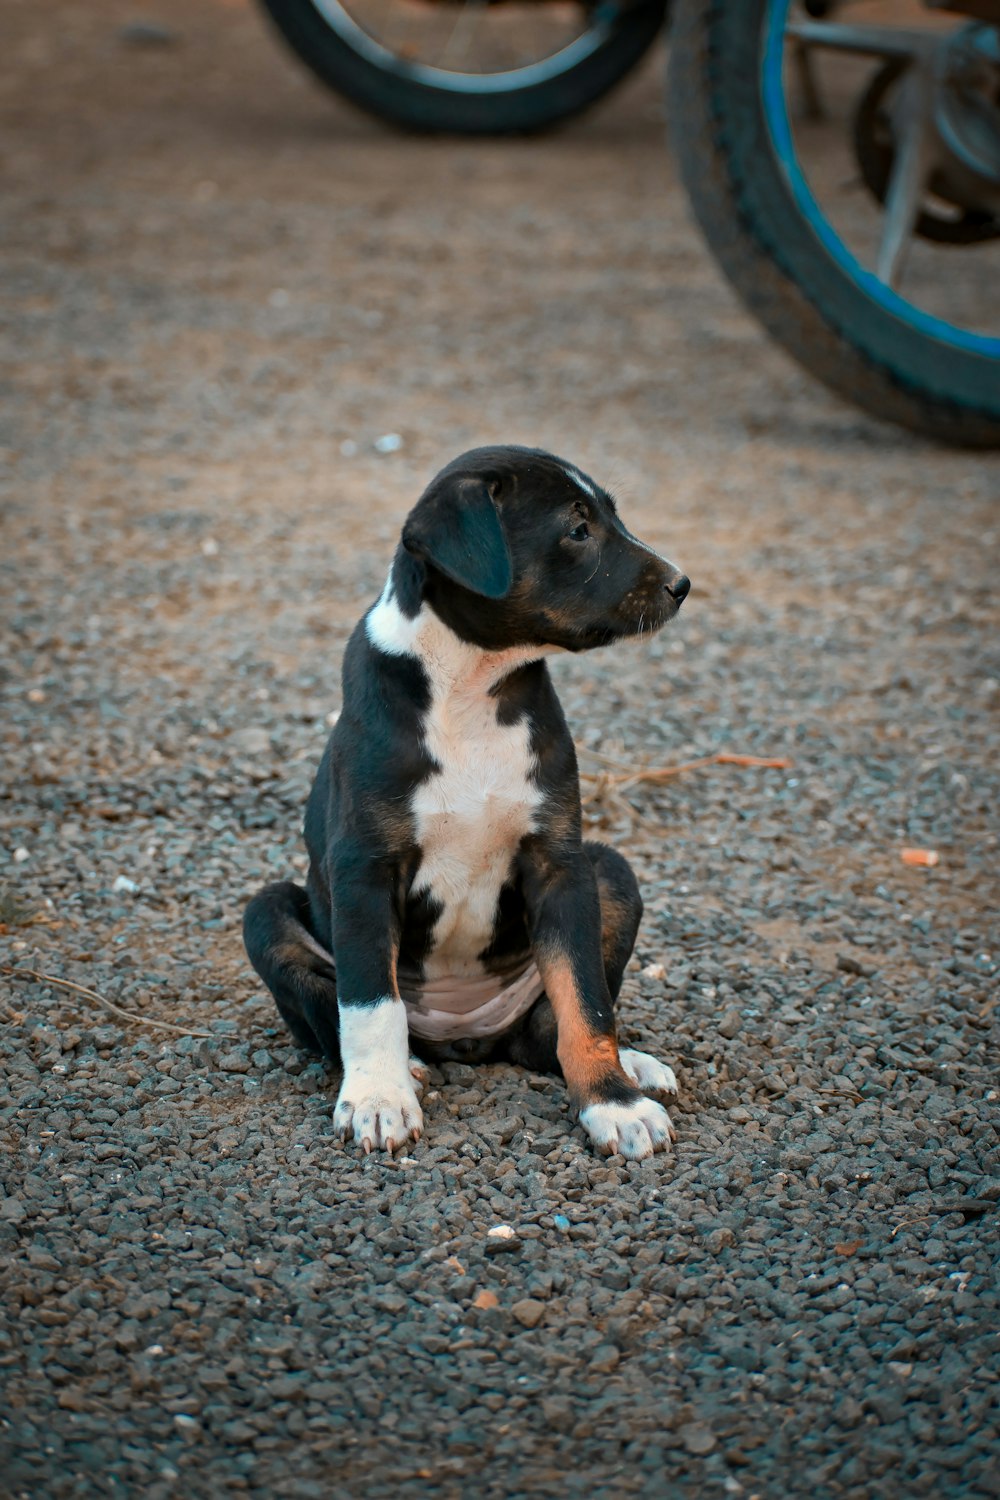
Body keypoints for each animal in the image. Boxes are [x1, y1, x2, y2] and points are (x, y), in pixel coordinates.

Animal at [245, 444, 692, 1158]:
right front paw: (379, 1100)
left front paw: (614, 1105)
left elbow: (585, 1000)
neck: (472, 686)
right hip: (267, 913)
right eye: (577, 529)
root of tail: (468, 1039)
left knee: (548, 1031)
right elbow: (370, 1004)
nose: (682, 584)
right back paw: (407, 1068)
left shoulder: (559, 864)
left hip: (609, 870)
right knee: (335, 1013)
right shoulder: (364, 868)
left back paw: (633, 1064)